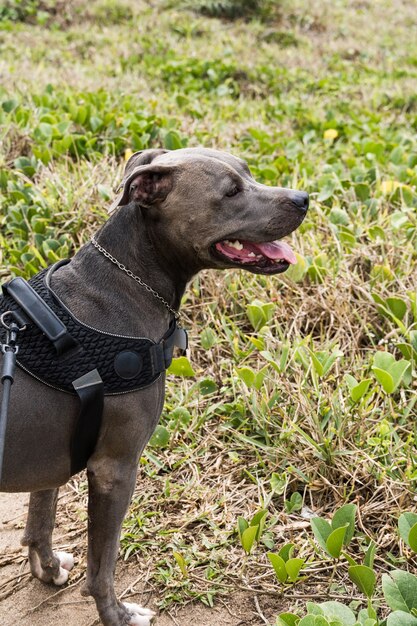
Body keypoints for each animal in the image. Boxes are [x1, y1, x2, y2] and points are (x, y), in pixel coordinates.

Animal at [0, 149, 306, 620]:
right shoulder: (115, 469)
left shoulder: (47, 458)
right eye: (231, 191)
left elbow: (41, 516)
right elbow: (102, 567)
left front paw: (46, 569)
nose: (303, 199)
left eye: (249, 172)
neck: (129, 279)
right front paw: (118, 617)